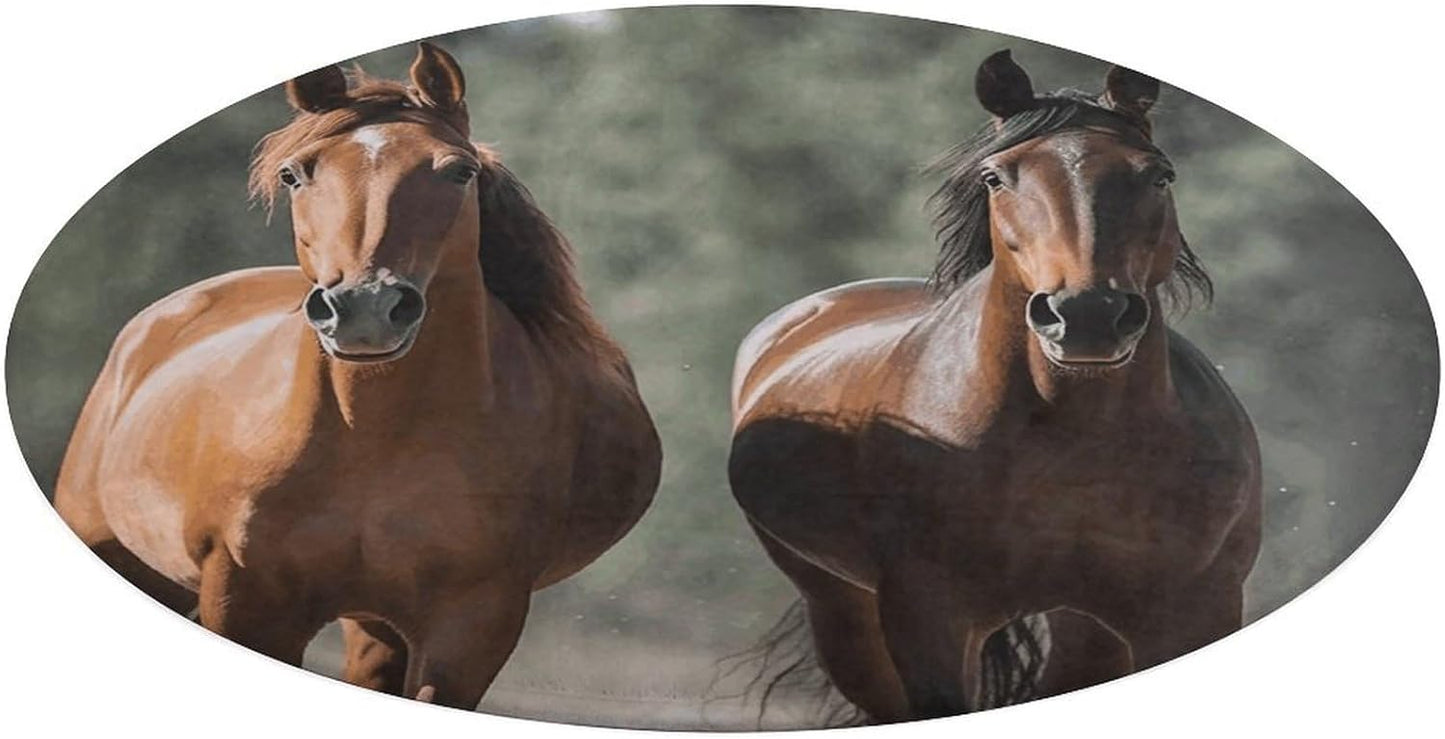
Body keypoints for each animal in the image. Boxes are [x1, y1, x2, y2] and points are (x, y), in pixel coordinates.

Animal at [52, 42, 662, 710]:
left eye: (459, 172)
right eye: (295, 175)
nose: (365, 307)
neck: (370, 437)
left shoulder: (473, 625)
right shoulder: (248, 606)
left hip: (375, 623)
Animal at [728, 50, 1262, 723]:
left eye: (1159, 175)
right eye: (995, 179)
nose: (1086, 314)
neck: (1074, 443)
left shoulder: (1194, 613)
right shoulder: (930, 619)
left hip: (1086, 630)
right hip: (841, 611)